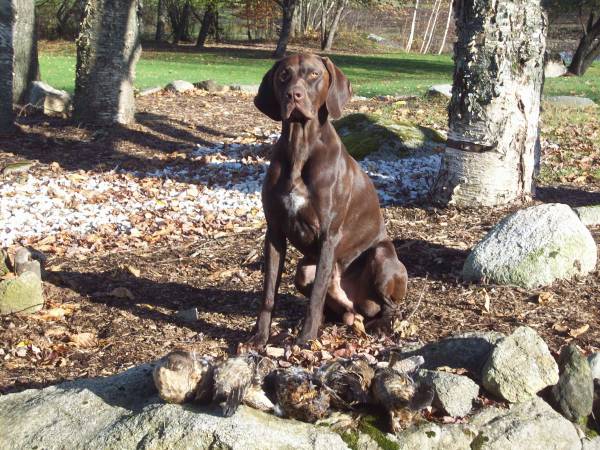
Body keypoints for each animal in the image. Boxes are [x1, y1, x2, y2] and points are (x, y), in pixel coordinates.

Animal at [248, 53, 408, 348]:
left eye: (314, 74)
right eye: (284, 75)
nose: (293, 95)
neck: (299, 147)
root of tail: (355, 305)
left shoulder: (328, 236)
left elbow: (317, 295)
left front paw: (306, 339)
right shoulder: (274, 233)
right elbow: (268, 292)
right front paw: (260, 336)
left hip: (382, 257)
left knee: (390, 307)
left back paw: (380, 325)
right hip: (303, 271)